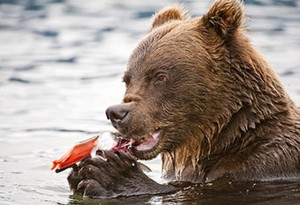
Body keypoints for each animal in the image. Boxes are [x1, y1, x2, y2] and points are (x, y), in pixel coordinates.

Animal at [67, 0, 300, 199]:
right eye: (127, 79)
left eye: (160, 76)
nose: (116, 112)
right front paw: (79, 172)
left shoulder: (265, 164)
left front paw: (112, 175)